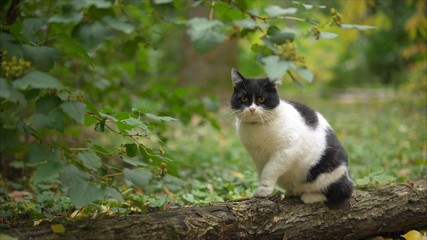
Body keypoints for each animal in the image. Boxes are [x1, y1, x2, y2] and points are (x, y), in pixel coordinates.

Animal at [231, 68, 354, 206]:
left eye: (261, 99)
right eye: (244, 98)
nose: (252, 109)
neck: (256, 127)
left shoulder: (286, 151)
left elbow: (269, 170)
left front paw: (263, 190)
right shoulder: (258, 158)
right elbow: (262, 172)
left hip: (329, 170)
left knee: (341, 192)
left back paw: (310, 196)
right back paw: (292, 192)